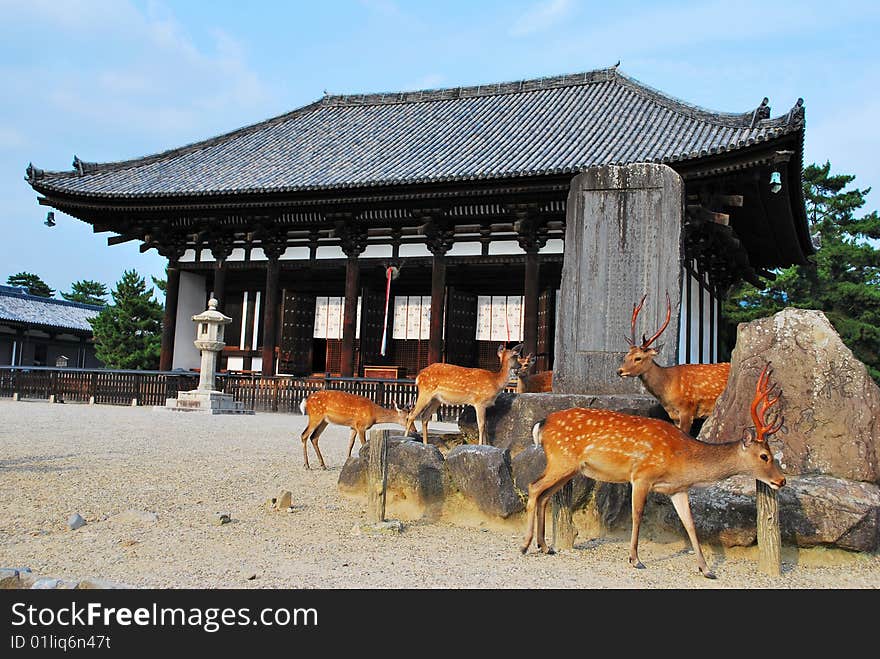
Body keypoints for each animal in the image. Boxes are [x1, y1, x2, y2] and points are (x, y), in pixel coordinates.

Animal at [520, 364, 788, 580]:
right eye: (764, 456)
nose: (781, 480)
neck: (682, 460)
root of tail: (541, 424)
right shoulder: (642, 475)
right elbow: (637, 514)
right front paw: (635, 559)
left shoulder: (677, 489)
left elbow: (690, 524)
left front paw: (707, 570)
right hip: (561, 460)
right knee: (533, 487)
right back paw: (525, 545)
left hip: (570, 467)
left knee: (544, 495)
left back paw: (545, 546)